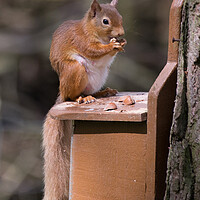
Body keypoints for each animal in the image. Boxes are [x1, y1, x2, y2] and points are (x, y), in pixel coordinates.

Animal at [42, 0, 126, 199]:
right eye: (105, 21)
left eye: (120, 17)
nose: (121, 34)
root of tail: (62, 91)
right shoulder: (80, 39)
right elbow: (92, 50)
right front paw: (111, 46)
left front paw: (121, 44)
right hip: (75, 70)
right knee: (72, 95)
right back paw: (81, 98)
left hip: (100, 76)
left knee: (93, 91)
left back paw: (103, 93)